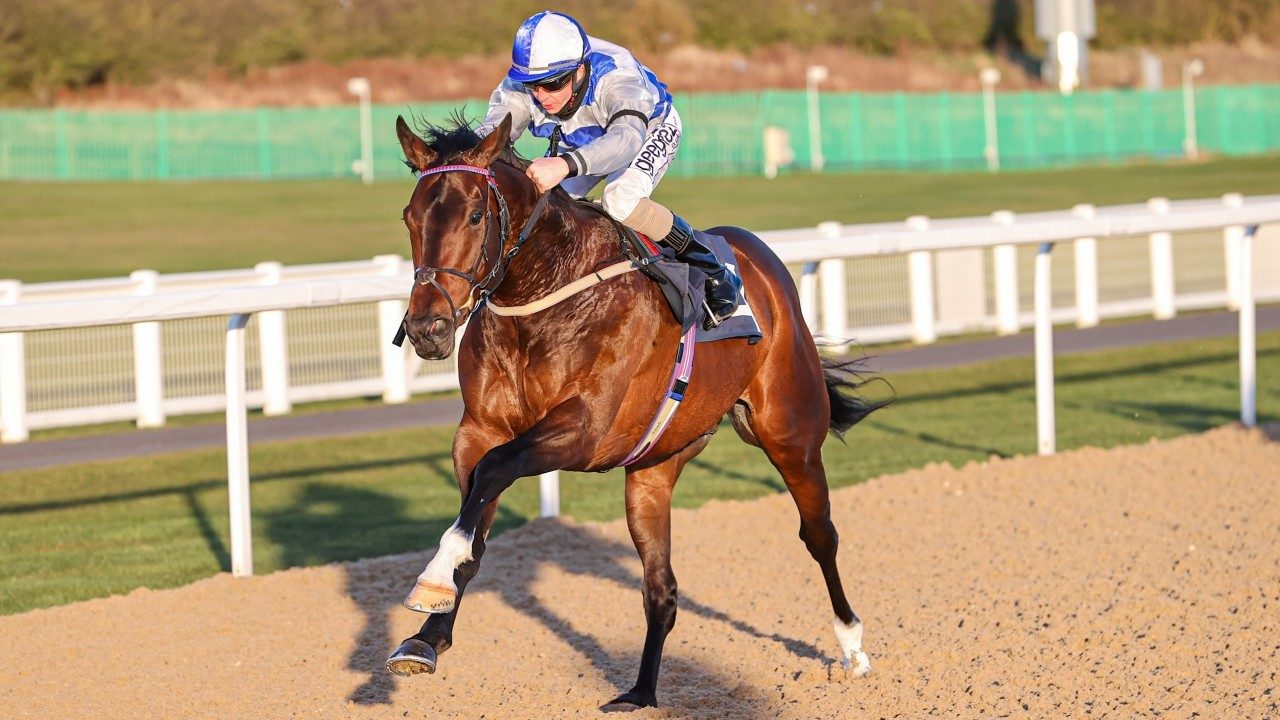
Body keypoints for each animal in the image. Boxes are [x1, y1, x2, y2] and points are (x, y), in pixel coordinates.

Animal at [386, 113, 890, 707]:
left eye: (474, 214)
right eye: (410, 216)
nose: (428, 327)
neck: (544, 294)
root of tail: (761, 260)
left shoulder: (583, 429)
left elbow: (492, 475)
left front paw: (434, 581)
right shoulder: (479, 430)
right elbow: (476, 520)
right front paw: (427, 634)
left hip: (791, 432)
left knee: (819, 534)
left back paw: (852, 645)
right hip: (653, 469)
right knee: (661, 590)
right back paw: (641, 694)